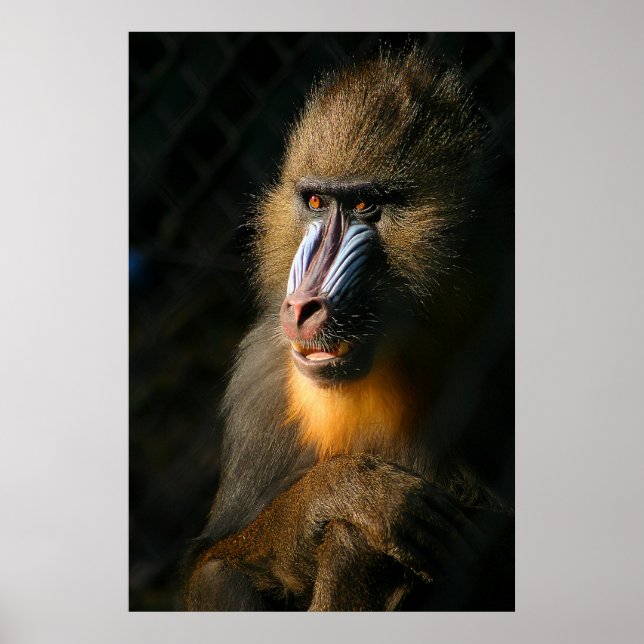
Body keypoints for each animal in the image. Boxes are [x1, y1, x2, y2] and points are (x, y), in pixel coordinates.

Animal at [183, 45, 514, 611]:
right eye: (316, 202)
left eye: (364, 205)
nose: (301, 308)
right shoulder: (260, 384)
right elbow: (207, 559)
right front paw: (348, 493)